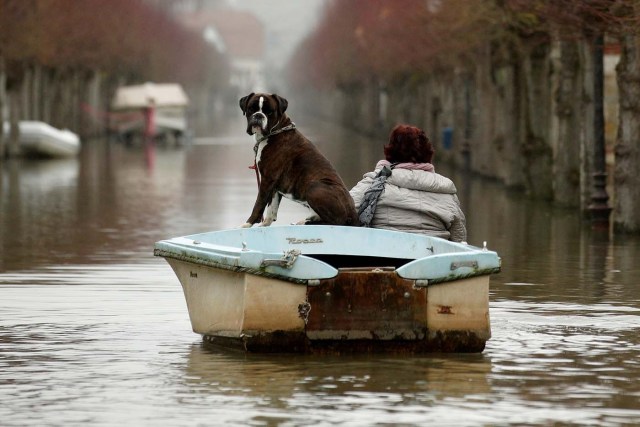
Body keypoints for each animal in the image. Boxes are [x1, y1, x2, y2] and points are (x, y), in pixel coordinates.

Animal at [240, 92, 360, 229]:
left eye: (269, 112)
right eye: (251, 109)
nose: (258, 115)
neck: (275, 132)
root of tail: (353, 212)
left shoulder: (267, 179)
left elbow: (259, 204)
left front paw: (246, 225)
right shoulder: (274, 185)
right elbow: (271, 209)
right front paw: (264, 225)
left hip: (314, 187)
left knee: (337, 222)